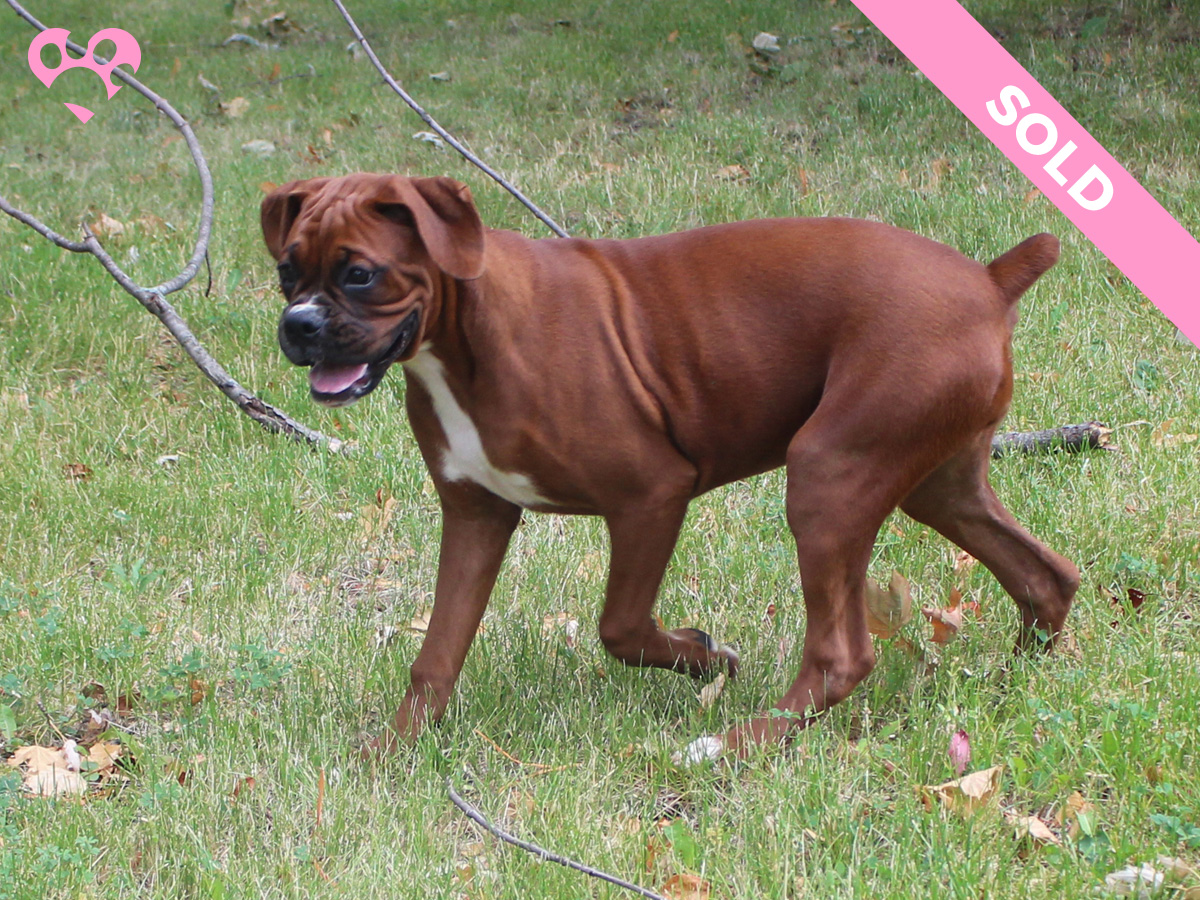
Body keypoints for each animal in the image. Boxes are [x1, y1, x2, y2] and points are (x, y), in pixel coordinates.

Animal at [260, 170, 1080, 763]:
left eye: (360, 275)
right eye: (286, 271)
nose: (297, 326)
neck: (460, 339)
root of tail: (987, 280)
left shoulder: (651, 494)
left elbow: (619, 626)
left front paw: (705, 657)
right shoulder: (476, 513)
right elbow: (436, 652)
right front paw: (394, 750)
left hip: (828, 475)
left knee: (842, 654)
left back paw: (734, 744)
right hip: (935, 481)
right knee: (1046, 574)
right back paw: (1012, 684)